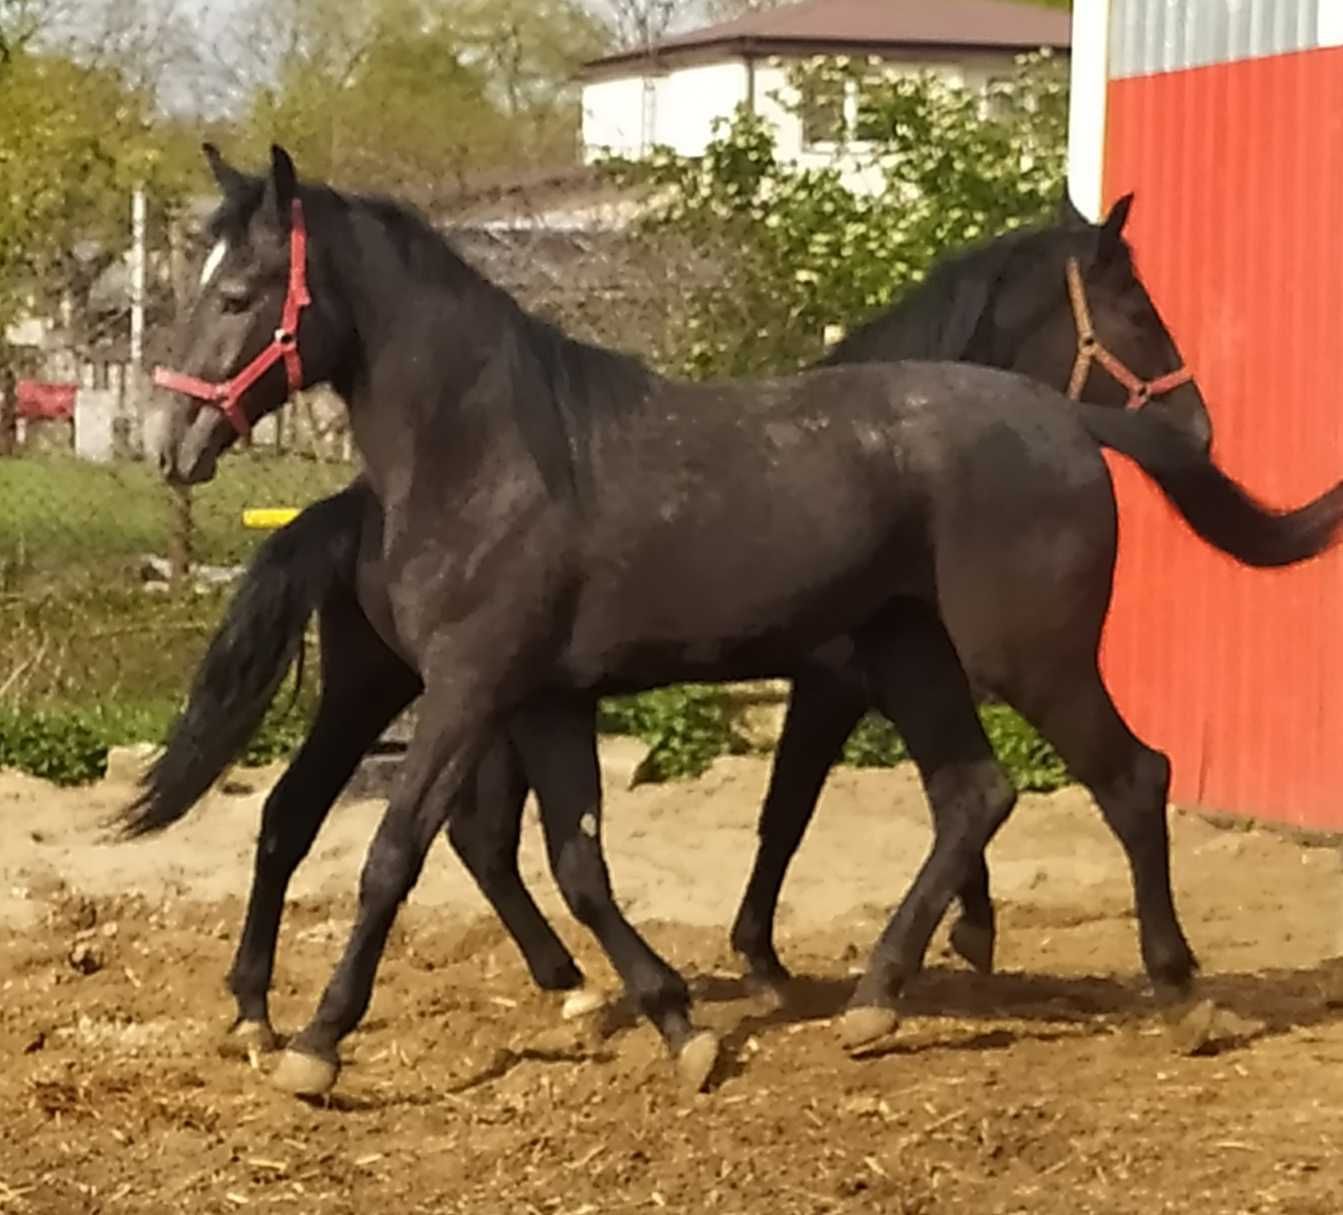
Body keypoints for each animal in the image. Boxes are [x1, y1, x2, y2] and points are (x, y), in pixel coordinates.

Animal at [133, 144, 1343, 1100]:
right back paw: (872, 1001)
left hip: (1025, 656)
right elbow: (581, 860)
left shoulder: (480, 691)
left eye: (241, 292)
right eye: (210, 286)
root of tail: (1064, 420)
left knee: (1127, 778)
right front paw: (682, 1022)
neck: (494, 456)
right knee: (975, 792)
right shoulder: (545, 698)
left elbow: (397, 855)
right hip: (910, 657)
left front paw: (322, 1046)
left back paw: (1180, 995)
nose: (170, 440)